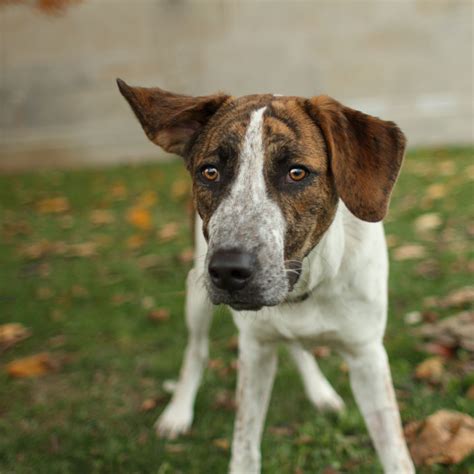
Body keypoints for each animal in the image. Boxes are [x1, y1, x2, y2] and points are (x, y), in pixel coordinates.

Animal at [117, 79, 414, 472]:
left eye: (296, 173)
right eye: (209, 172)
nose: (228, 270)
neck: (305, 284)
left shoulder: (367, 355)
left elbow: (395, 452)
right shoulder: (254, 349)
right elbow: (244, 445)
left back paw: (321, 393)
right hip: (195, 291)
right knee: (196, 350)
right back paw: (178, 412)